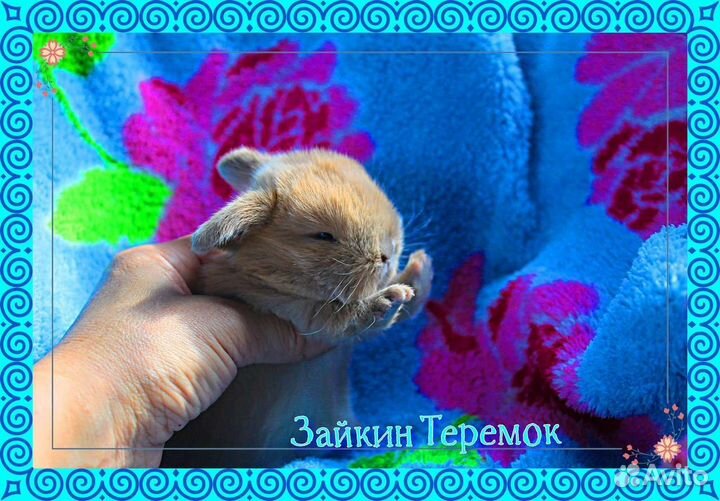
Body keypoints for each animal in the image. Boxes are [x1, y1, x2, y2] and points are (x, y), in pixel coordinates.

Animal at [160, 148, 432, 467]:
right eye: (323, 236)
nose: (389, 252)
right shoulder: (309, 320)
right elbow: (357, 319)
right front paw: (391, 296)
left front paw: (420, 267)